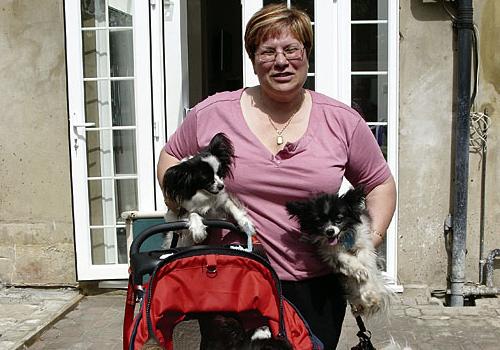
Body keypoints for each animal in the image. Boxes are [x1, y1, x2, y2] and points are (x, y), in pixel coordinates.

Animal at [286, 189, 390, 318]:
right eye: (319, 223)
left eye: (339, 219)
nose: (330, 231)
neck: (342, 239)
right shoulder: (329, 253)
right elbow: (344, 258)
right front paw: (358, 270)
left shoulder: (364, 245)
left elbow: (367, 264)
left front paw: (365, 280)